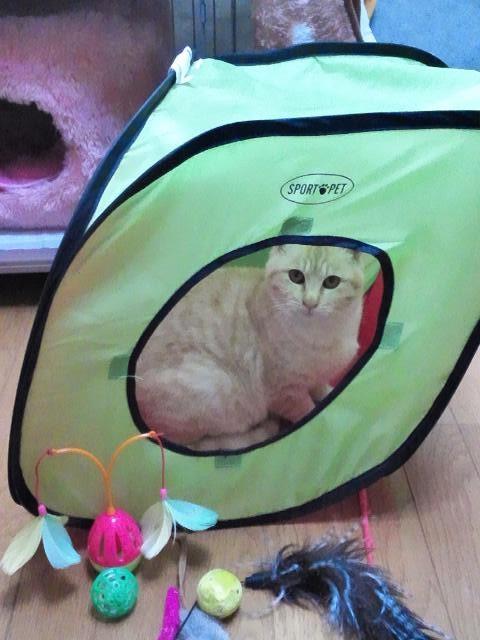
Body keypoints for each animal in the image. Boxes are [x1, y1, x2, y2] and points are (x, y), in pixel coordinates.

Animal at [135, 244, 365, 451]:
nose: (310, 303)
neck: (321, 334)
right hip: (217, 386)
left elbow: (321, 388)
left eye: (332, 282)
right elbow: (307, 411)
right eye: (296, 276)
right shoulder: (283, 392)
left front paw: (330, 394)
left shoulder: (316, 376)